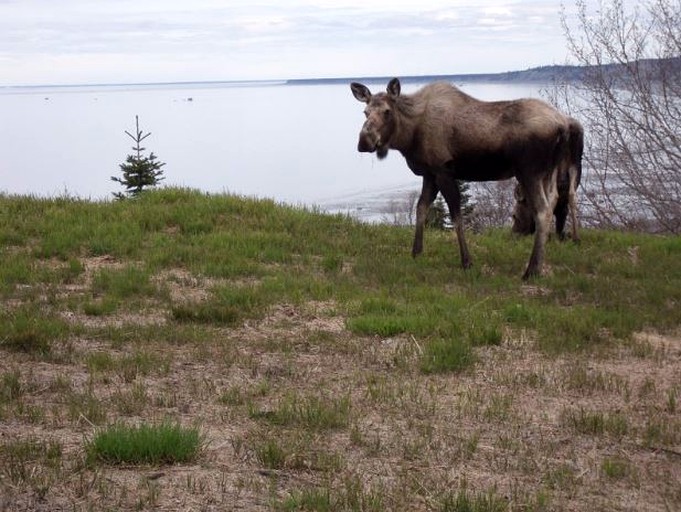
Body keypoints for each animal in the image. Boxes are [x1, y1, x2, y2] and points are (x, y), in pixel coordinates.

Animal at [350, 77, 580, 280]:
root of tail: (565, 125)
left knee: (543, 210)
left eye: (387, 111)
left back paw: (531, 270)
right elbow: (421, 208)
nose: (364, 142)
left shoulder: (443, 170)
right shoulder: (430, 174)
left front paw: (467, 261)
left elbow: (456, 216)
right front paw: (416, 252)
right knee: (555, 200)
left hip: (529, 172)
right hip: (547, 173)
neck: (410, 136)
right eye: (365, 112)